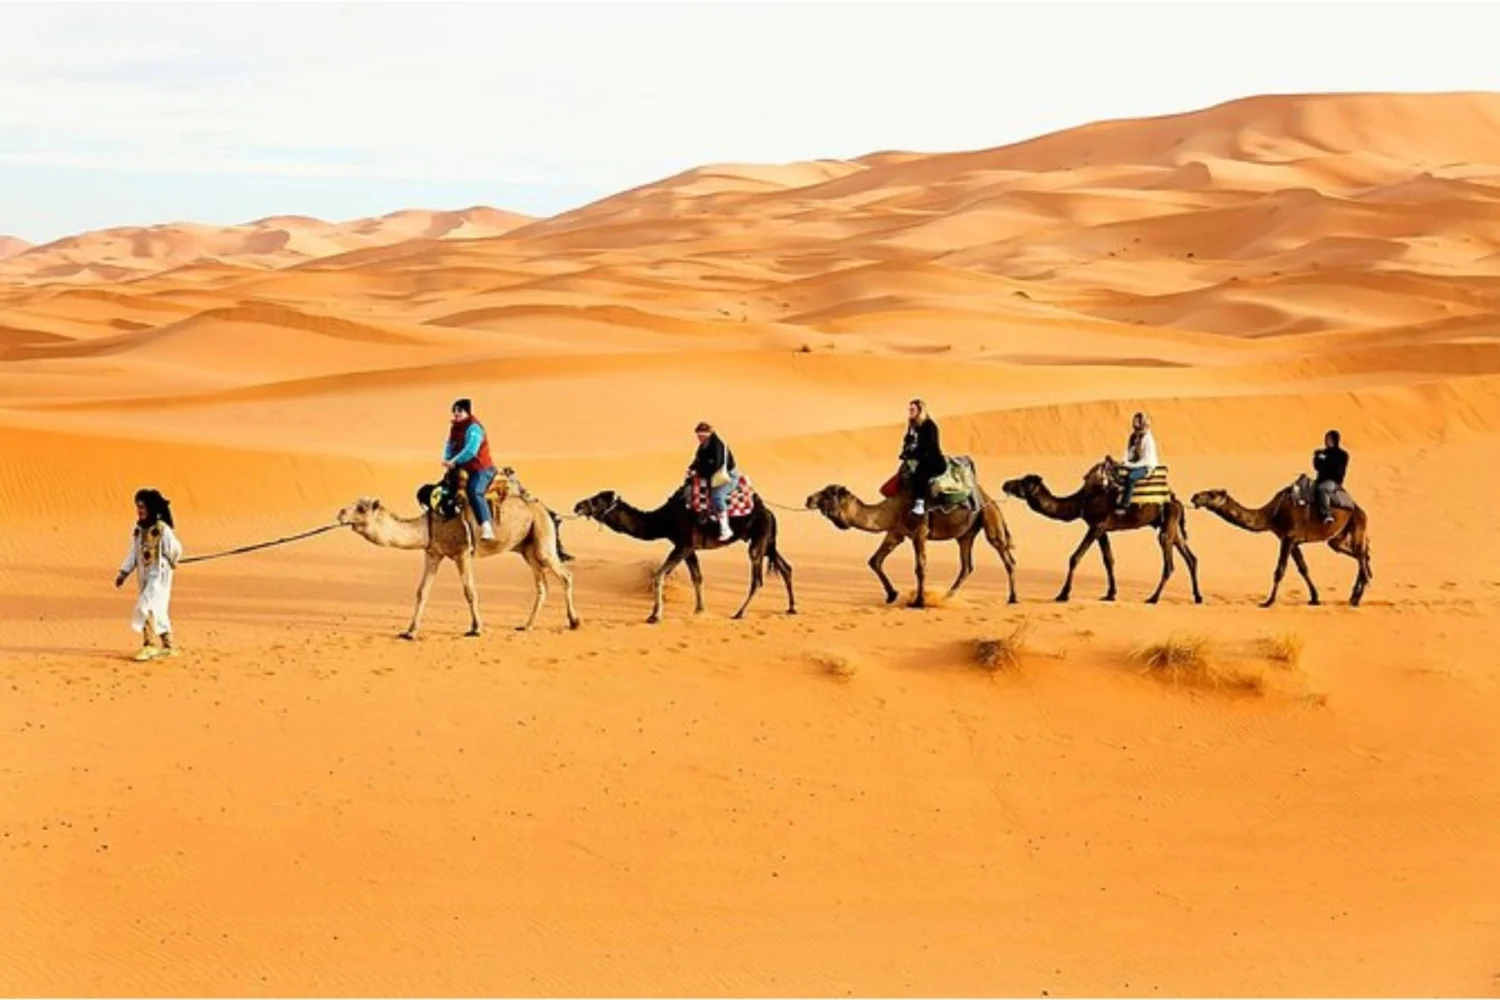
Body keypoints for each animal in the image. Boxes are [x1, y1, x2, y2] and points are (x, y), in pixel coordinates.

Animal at [337, 491, 576, 641]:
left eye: (361, 508)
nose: (340, 513)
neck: (430, 526)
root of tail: (545, 509)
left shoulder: (462, 553)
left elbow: (469, 591)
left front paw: (476, 629)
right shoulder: (433, 553)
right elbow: (422, 592)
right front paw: (410, 632)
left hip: (541, 536)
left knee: (565, 576)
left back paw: (574, 622)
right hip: (527, 548)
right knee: (542, 585)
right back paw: (527, 625)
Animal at [570, 485, 798, 626]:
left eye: (598, 500)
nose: (578, 505)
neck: (663, 520)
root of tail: (768, 512)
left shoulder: (683, 544)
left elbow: (659, 575)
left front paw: (654, 616)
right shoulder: (689, 548)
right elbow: (697, 577)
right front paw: (699, 610)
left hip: (758, 540)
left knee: (757, 578)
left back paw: (740, 612)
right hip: (766, 541)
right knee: (785, 567)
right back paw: (792, 608)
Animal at [798, 479, 1020, 611]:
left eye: (828, 494)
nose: (808, 499)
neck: (893, 509)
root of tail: (990, 499)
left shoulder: (919, 533)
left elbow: (920, 568)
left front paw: (918, 602)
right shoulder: (896, 532)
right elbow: (874, 561)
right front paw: (892, 595)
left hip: (991, 520)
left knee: (1007, 558)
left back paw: (1013, 598)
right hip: (965, 534)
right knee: (966, 565)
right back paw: (946, 597)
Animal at [996, 458, 1206, 605]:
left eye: (1023, 482)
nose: (1005, 484)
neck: (1081, 501)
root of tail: (1177, 501)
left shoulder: (1095, 526)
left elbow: (1075, 557)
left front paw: (1063, 594)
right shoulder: (1102, 529)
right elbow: (1108, 560)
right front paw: (1110, 594)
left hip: (1167, 525)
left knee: (1169, 562)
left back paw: (1153, 598)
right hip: (1171, 526)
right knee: (1191, 558)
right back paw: (1198, 597)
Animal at [1188, 485, 1374, 611]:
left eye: (1212, 494)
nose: (1195, 496)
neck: (1271, 514)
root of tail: (1359, 508)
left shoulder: (1288, 538)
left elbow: (1280, 570)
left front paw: (1267, 602)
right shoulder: (1292, 541)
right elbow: (1303, 568)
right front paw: (1315, 598)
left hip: (1357, 522)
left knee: (1361, 553)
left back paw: (1358, 597)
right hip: (1338, 537)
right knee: (1361, 553)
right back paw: (1354, 595)